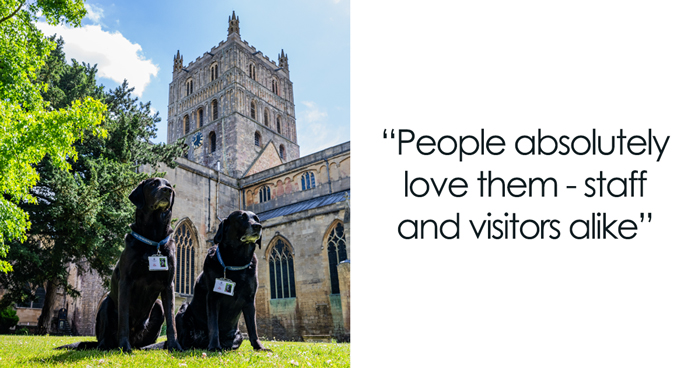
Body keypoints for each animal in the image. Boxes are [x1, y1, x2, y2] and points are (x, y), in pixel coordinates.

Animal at [58, 180, 183, 352]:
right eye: (152, 184)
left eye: (169, 185)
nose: (167, 191)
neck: (153, 238)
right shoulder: (126, 282)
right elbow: (123, 319)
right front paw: (124, 346)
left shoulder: (168, 285)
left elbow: (172, 321)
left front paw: (174, 346)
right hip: (106, 303)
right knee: (104, 339)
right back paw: (110, 346)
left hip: (157, 307)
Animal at [172, 210, 268, 350]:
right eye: (241, 217)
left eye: (257, 219)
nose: (258, 226)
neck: (236, 263)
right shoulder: (212, 297)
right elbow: (214, 325)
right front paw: (214, 347)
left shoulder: (250, 300)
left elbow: (253, 328)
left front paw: (259, 347)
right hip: (183, 310)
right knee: (183, 340)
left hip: (238, 336)